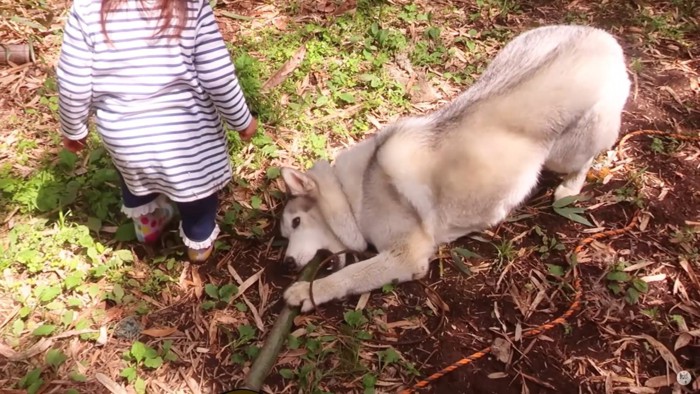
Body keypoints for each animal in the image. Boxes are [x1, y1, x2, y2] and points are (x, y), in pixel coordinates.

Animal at [278, 25, 628, 314]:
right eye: (286, 232)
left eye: (296, 222)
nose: (286, 263)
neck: (357, 190)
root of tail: (602, 36)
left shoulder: (407, 256)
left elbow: (350, 274)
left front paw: (308, 291)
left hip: (565, 151)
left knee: (585, 159)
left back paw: (570, 187)